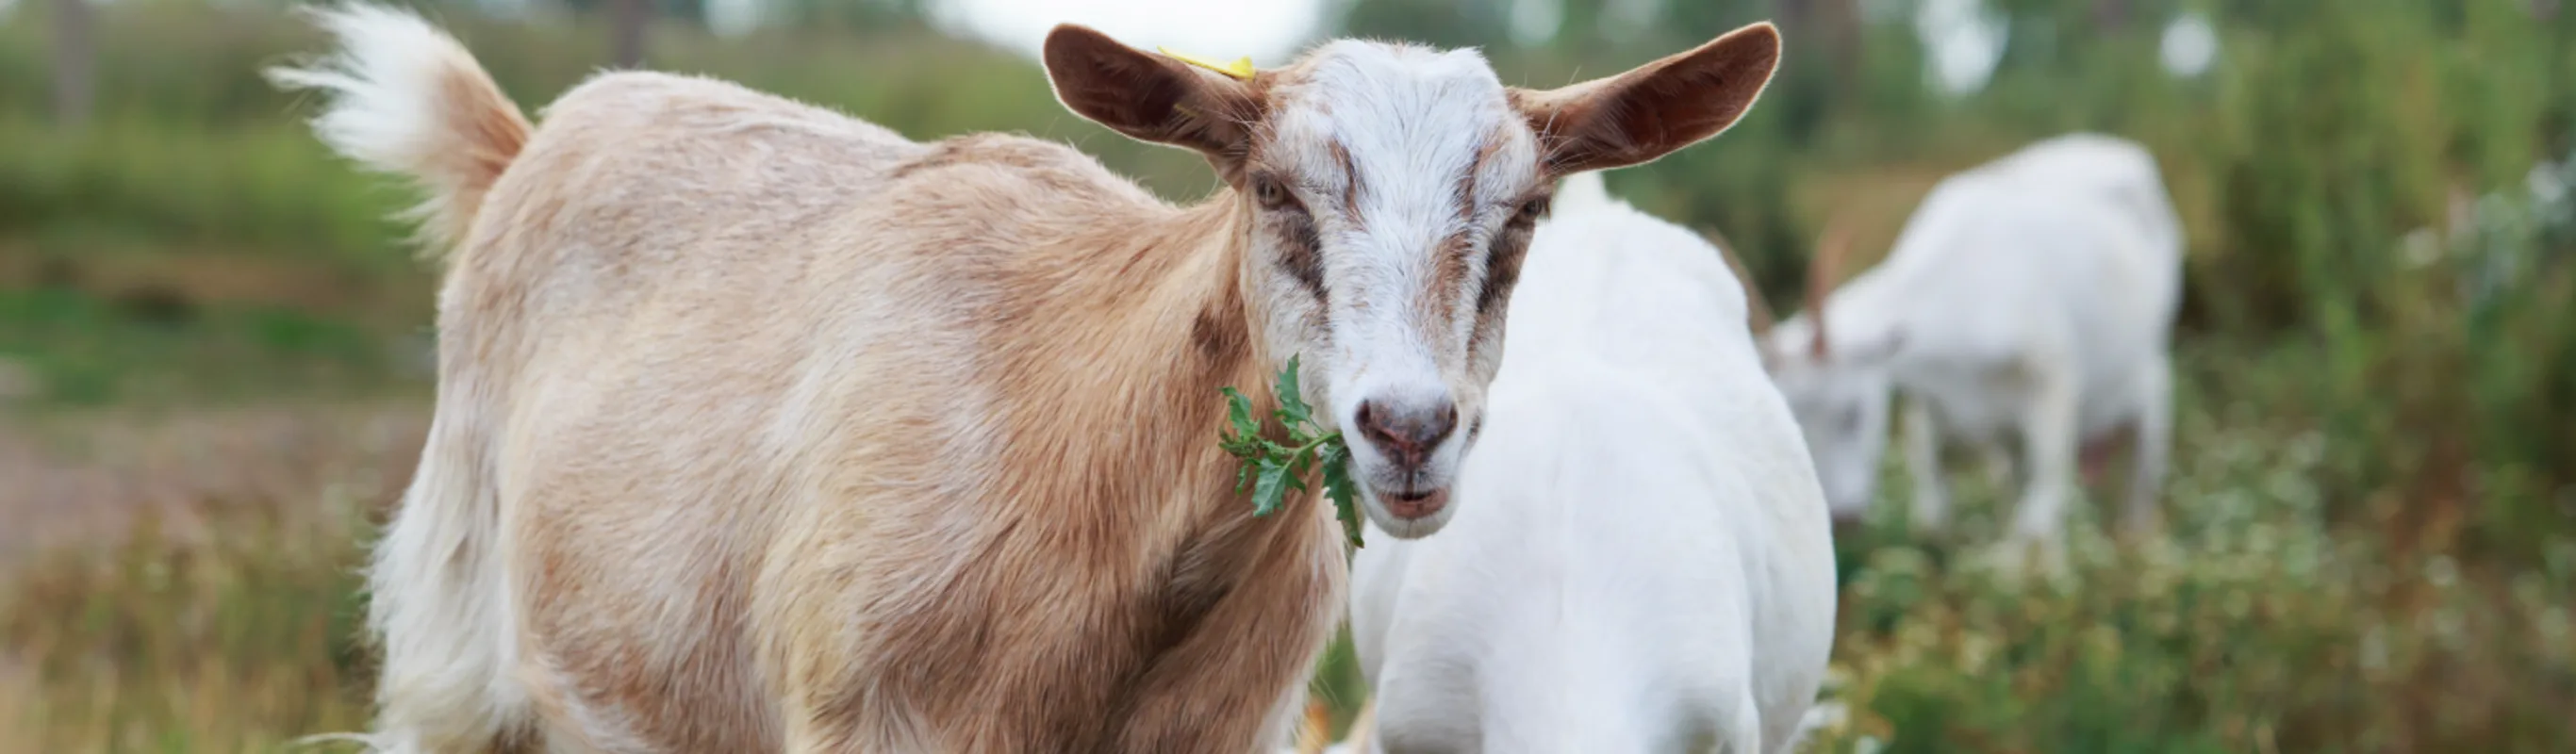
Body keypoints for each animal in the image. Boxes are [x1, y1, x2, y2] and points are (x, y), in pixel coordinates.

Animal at [1760, 133, 2184, 574]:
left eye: (1852, 412)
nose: (1842, 522)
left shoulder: (2053, 383)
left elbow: (2041, 507)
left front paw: (2042, 574)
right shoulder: (1931, 407)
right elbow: (1934, 510)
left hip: (2148, 382)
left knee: (2140, 478)